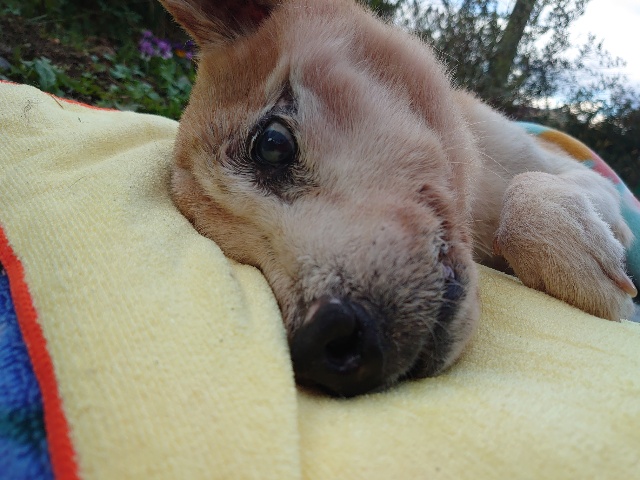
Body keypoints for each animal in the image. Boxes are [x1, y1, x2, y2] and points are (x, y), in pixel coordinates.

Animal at [158, 0, 637, 397]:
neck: (476, 201)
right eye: (235, 252)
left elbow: (523, 197)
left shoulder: (584, 175)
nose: (321, 346)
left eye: (272, 144)